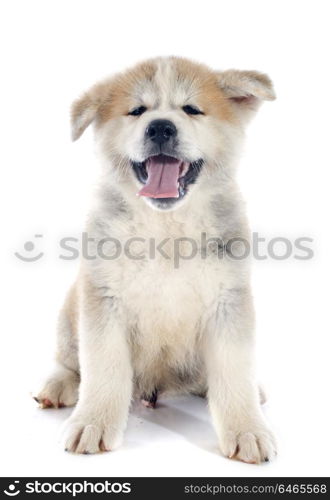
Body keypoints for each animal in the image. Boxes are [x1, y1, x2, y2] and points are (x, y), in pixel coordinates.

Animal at [34, 56, 276, 462]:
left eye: (191, 109)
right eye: (137, 111)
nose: (160, 127)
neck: (166, 229)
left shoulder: (228, 301)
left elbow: (233, 372)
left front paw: (247, 429)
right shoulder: (103, 299)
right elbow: (104, 369)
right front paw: (93, 422)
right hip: (71, 310)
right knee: (70, 364)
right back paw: (56, 387)